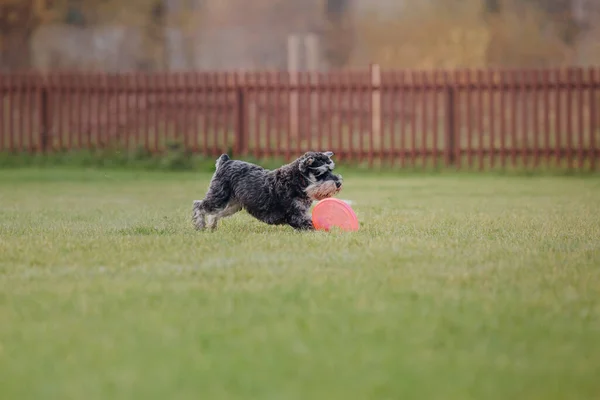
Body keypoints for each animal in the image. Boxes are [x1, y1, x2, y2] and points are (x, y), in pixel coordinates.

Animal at [192, 151, 342, 231]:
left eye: (331, 169)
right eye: (320, 173)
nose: (339, 183)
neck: (298, 181)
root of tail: (226, 162)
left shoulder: (301, 212)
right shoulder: (295, 215)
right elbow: (312, 225)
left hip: (231, 205)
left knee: (214, 214)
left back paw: (212, 227)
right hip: (219, 197)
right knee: (199, 205)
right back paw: (200, 226)